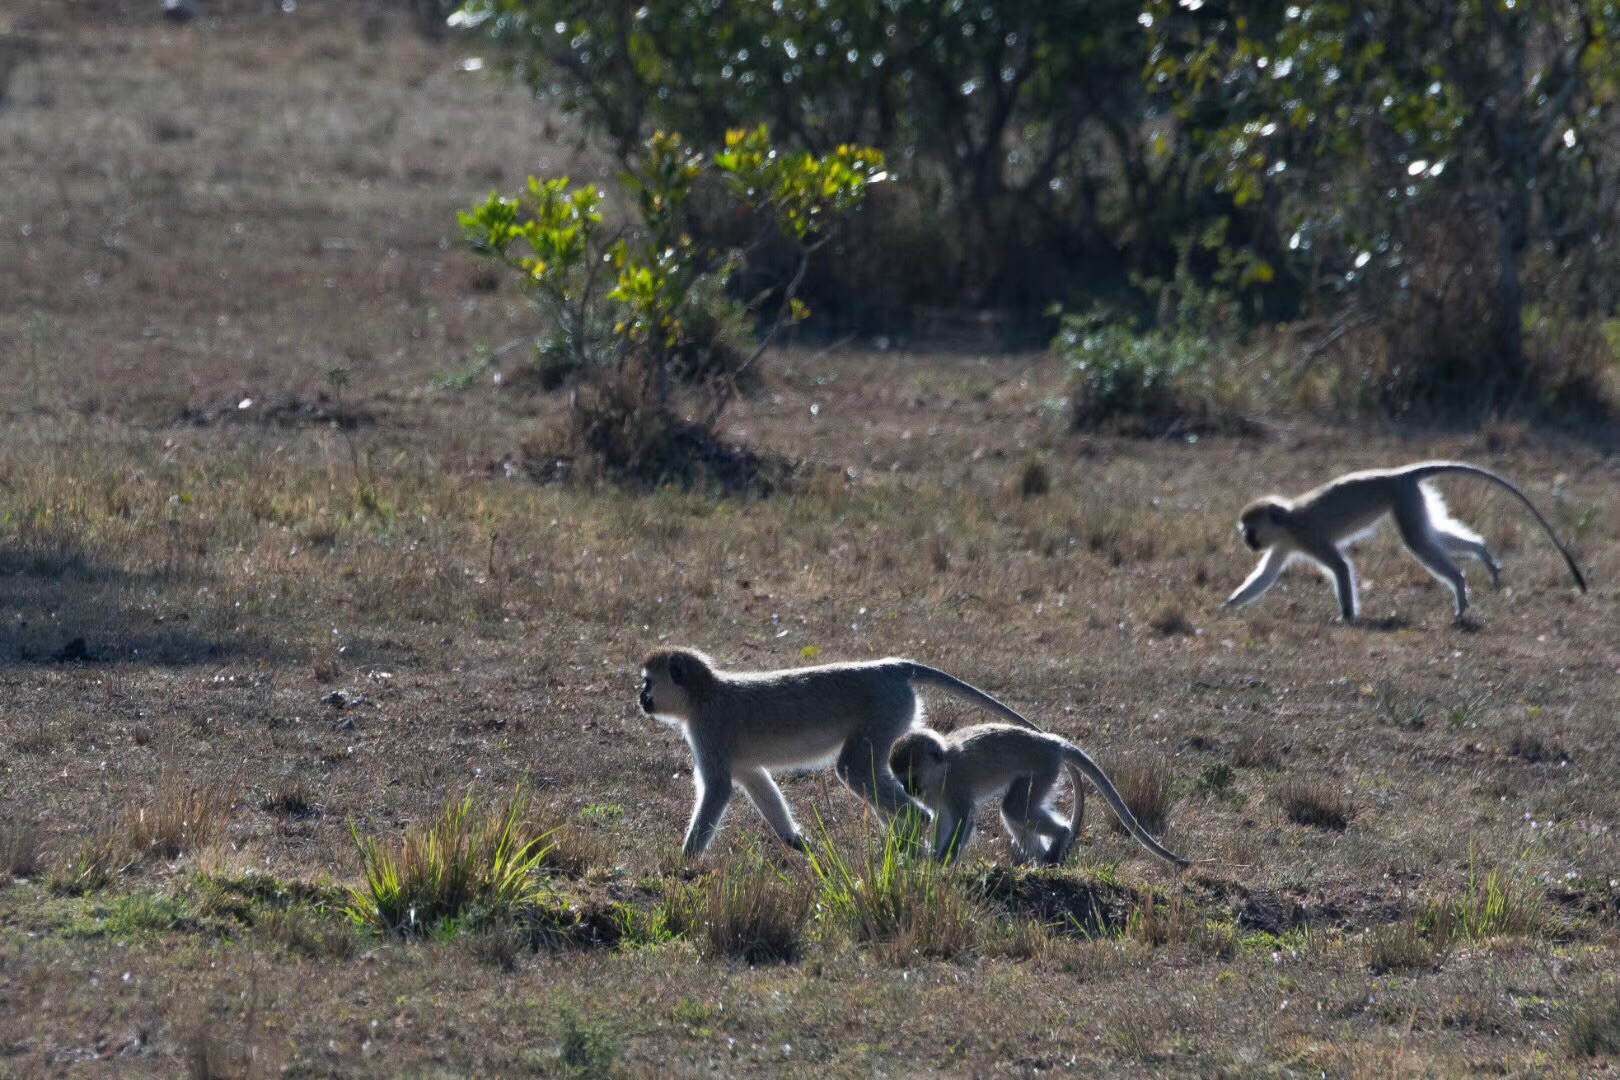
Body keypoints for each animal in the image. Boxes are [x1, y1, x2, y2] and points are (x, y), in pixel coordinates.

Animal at [638, 647, 1043, 854]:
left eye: (647, 682)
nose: (640, 698)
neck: (703, 694)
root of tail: (889, 668)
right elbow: (755, 780)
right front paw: (795, 840)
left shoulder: (707, 730)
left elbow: (719, 788)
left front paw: (684, 862)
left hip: (886, 710)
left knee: (854, 768)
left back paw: (915, 826)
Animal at [887, 725, 1192, 867]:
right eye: (902, 780)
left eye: (910, 778)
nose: (907, 790)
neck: (941, 768)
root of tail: (1051, 742)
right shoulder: (935, 794)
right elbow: (942, 818)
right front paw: (929, 858)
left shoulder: (956, 783)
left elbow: (963, 819)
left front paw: (940, 863)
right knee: (1014, 811)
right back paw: (1039, 861)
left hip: (1043, 770)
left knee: (1013, 808)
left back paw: (1060, 839)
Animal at [1224, 459, 1581, 625]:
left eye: (1249, 530)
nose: (1248, 542)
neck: (1286, 522)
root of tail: (1398, 474)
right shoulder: (1283, 544)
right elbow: (1266, 575)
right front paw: (1230, 605)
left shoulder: (1306, 536)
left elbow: (1340, 567)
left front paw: (1347, 618)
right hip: (1413, 500)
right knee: (1429, 534)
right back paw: (1482, 554)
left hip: (1404, 500)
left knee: (1417, 541)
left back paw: (1459, 584)